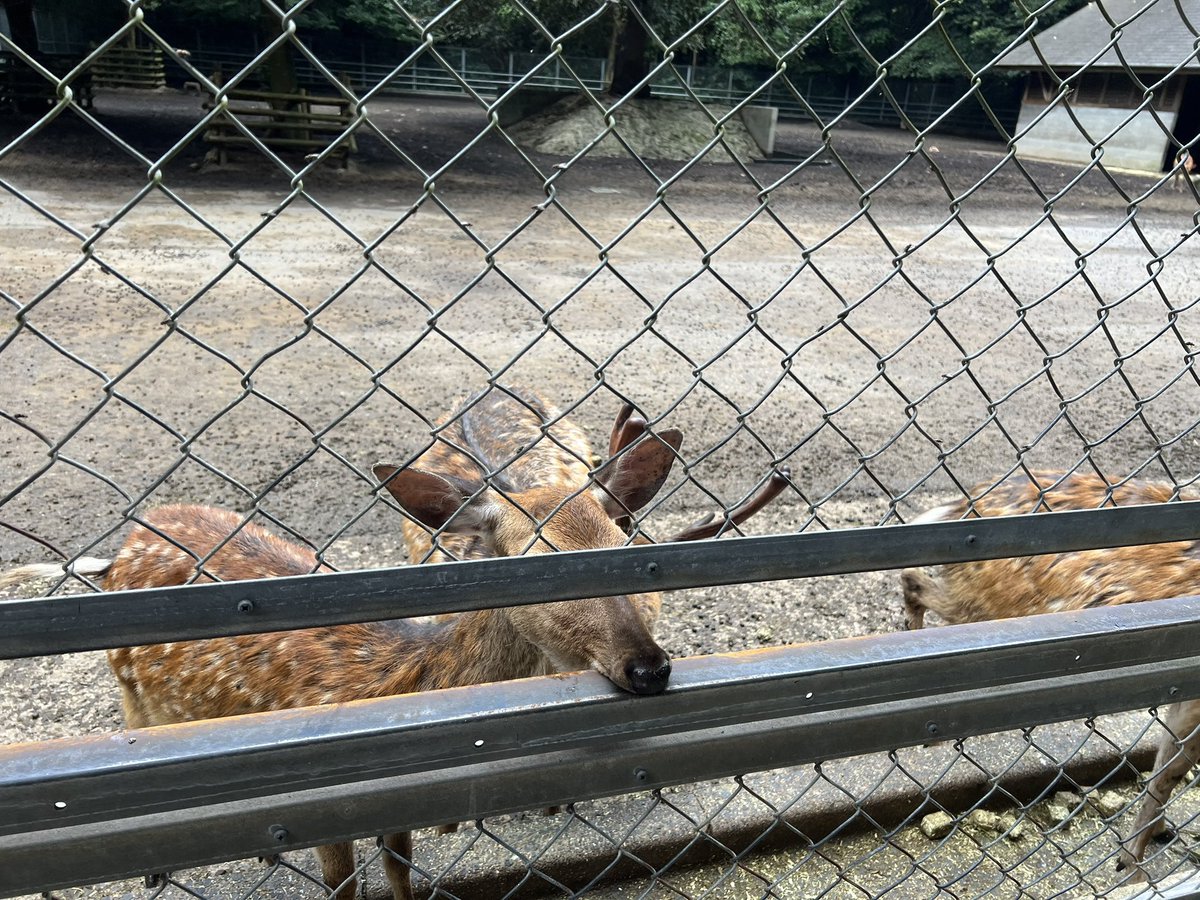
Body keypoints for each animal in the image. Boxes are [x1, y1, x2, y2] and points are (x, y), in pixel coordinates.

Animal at [0, 385, 789, 900]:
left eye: (628, 546)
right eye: (532, 560)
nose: (648, 666)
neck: (407, 682)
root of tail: (120, 547)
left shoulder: (397, 811)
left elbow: (402, 877)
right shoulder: (327, 808)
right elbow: (344, 888)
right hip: (128, 683)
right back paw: (160, 866)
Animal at [899, 470, 1200, 879]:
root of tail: (963, 505)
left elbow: (1165, 765)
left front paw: (1154, 837)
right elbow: (1170, 771)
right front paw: (1132, 869)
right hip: (991, 605)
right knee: (914, 580)